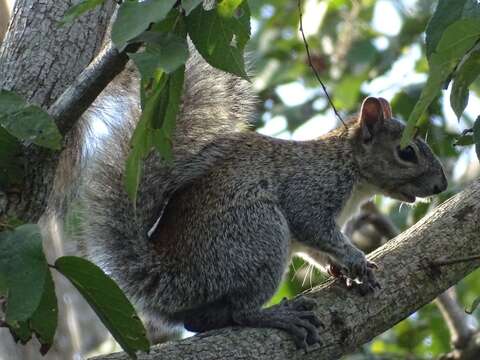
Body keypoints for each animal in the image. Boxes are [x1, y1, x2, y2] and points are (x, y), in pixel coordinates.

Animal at [73, 48, 448, 348]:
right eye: (407, 152)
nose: (441, 185)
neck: (351, 169)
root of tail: (170, 275)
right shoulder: (310, 192)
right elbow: (314, 228)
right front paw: (354, 259)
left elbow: (315, 248)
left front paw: (341, 267)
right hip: (258, 235)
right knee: (240, 310)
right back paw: (277, 317)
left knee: (200, 320)